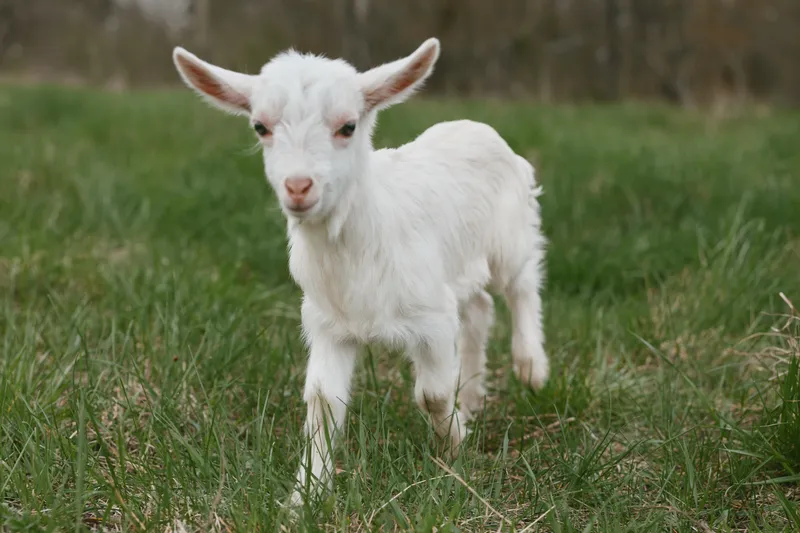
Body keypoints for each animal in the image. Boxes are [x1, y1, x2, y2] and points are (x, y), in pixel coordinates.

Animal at [171, 37, 549, 506]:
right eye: (260, 127)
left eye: (347, 127)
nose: (298, 187)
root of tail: (475, 125)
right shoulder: (328, 323)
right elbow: (323, 401)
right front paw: (305, 497)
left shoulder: (431, 317)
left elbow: (433, 393)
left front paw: (454, 447)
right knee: (479, 307)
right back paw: (476, 395)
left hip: (509, 234)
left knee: (521, 284)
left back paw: (531, 367)